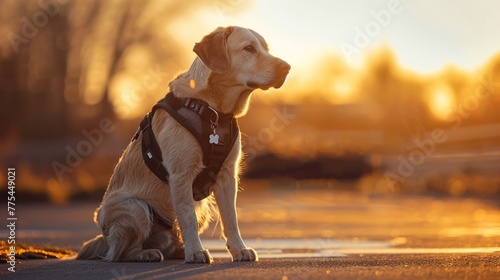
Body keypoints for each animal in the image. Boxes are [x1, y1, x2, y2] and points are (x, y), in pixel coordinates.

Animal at [76, 25, 292, 262]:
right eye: (249, 48)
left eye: (266, 49)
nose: (287, 67)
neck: (213, 112)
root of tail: (103, 238)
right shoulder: (181, 174)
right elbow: (188, 217)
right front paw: (196, 251)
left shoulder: (227, 175)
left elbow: (231, 218)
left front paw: (238, 249)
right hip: (135, 207)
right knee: (120, 253)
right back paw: (146, 253)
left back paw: (177, 250)